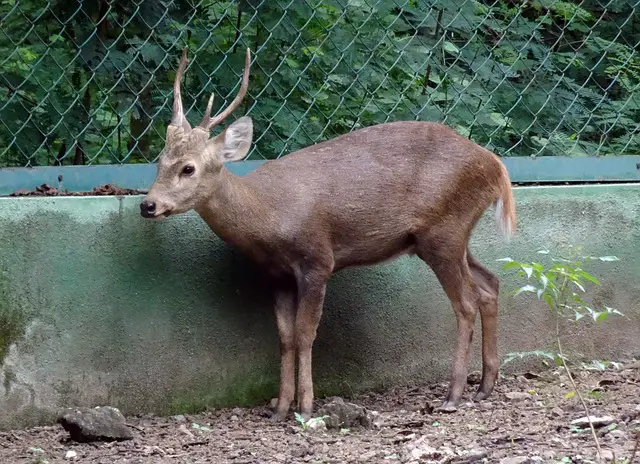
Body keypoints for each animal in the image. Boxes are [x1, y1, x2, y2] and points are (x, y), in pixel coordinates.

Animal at [139, 48, 516, 424]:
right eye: (159, 162)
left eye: (188, 168)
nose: (148, 205)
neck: (268, 217)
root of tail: (496, 166)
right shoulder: (276, 274)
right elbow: (285, 337)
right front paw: (280, 408)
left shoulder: (318, 259)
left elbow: (306, 333)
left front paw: (305, 406)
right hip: (452, 235)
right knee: (489, 284)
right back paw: (485, 386)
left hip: (444, 231)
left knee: (465, 303)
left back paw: (453, 395)